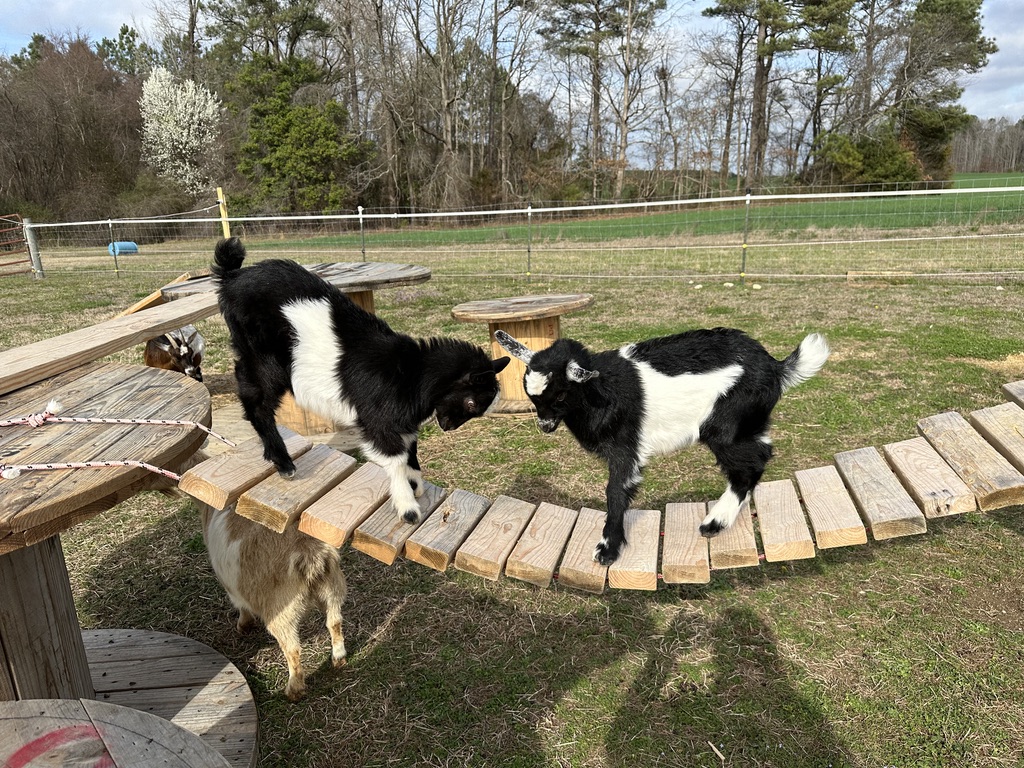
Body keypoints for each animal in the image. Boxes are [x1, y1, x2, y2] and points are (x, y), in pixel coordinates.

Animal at [198, 499, 347, 701]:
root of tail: (309, 553)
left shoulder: (232, 587)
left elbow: (241, 606)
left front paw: (243, 625)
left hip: (281, 612)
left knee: (292, 649)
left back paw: (294, 690)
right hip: (333, 590)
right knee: (334, 622)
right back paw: (339, 659)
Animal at [212, 237, 509, 524]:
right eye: (471, 403)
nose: (448, 427)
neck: (409, 373)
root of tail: (232, 277)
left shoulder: (401, 420)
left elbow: (410, 448)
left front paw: (415, 483)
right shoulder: (377, 419)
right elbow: (395, 457)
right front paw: (408, 508)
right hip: (262, 359)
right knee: (257, 404)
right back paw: (284, 464)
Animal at [496, 327, 830, 565]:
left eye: (562, 394)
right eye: (529, 393)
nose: (545, 426)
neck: (600, 388)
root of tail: (776, 367)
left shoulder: (626, 447)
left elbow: (616, 491)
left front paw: (607, 550)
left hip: (725, 424)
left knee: (750, 463)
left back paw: (715, 522)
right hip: (748, 423)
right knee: (761, 452)